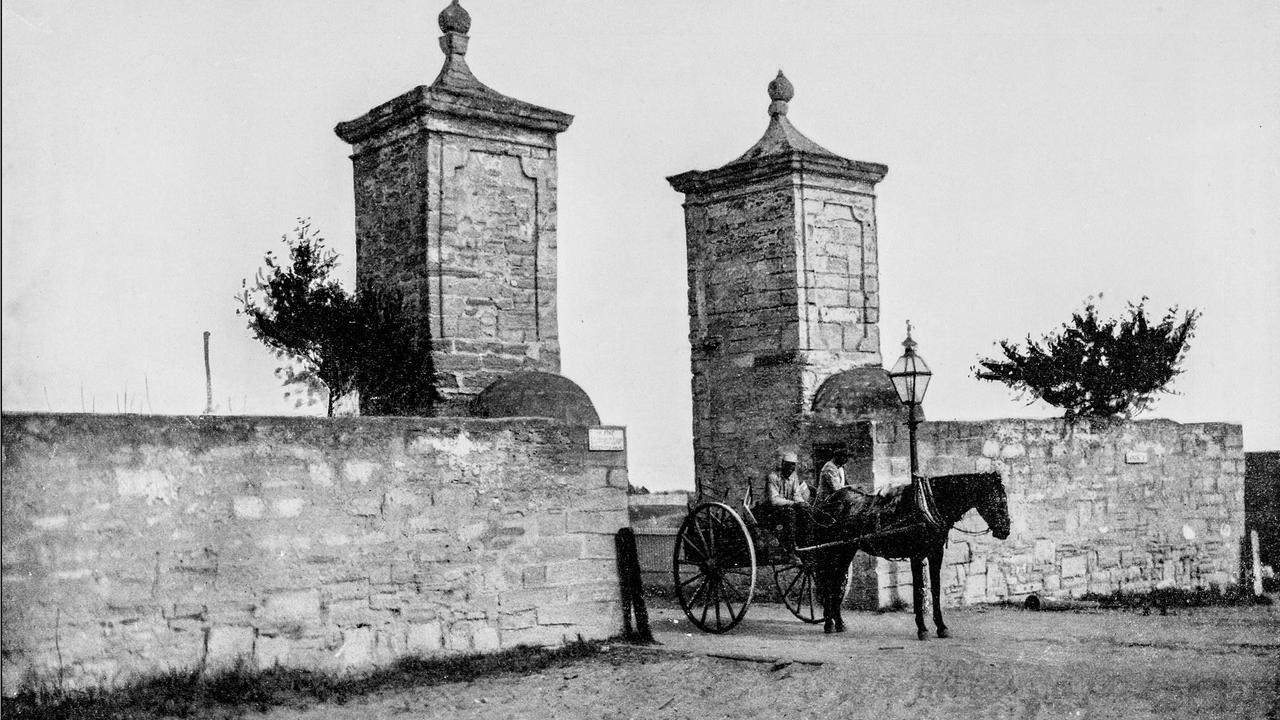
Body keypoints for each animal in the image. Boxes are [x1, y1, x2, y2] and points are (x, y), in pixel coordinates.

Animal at [808, 471, 1008, 638]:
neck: (926, 506)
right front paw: (922, 629)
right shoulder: (917, 555)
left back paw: (838, 623)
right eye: (997, 500)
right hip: (834, 550)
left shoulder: (935, 554)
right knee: (829, 583)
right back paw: (829, 623)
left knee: (836, 583)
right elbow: (919, 590)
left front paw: (941, 627)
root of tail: (828, 501)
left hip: (846, 550)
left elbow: (935, 589)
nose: (1005, 531)